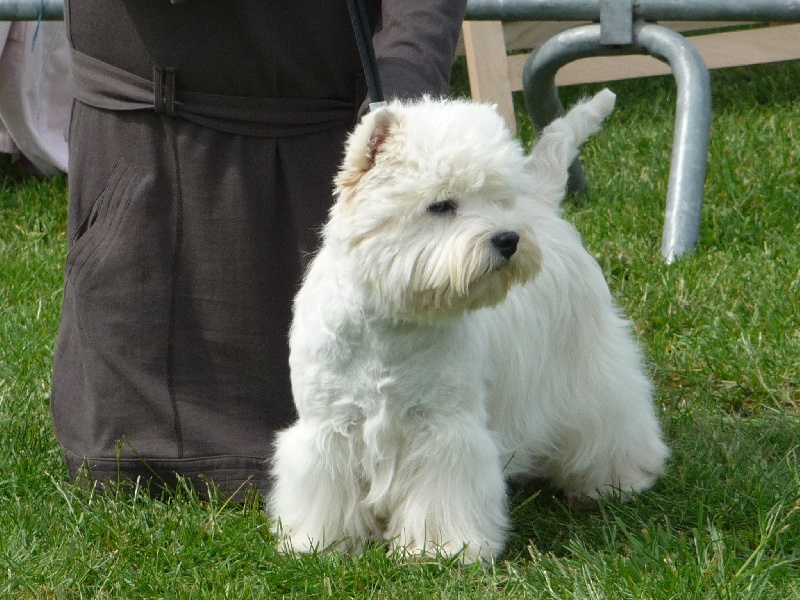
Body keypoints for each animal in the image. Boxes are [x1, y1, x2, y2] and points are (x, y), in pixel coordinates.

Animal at [268, 90, 668, 564]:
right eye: (441, 205)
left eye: (498, 199)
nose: (509, 239)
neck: (391, 324)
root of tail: (542, 206)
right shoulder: (329, 425)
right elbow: (326, 489)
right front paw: (318, 543)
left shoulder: (444, 427)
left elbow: (443, 491)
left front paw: (442, 549)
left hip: (586, 364)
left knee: (613, 415)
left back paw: (620, 480)